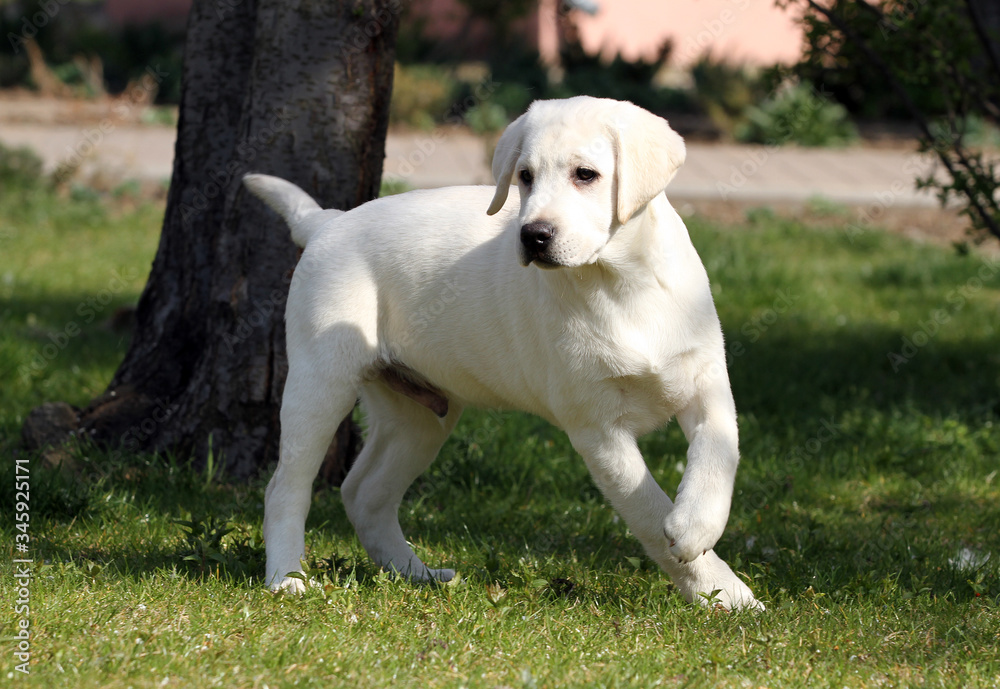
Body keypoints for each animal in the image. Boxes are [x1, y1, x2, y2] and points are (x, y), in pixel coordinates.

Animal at [246, 94, 760, 612]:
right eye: (525, 176)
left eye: (586, 174)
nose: (533, 235)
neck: (619, 281)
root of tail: (328, 221)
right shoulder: (597, 429)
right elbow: (647, 508)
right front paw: (718, 587)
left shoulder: (707, 380)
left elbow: (720, 452)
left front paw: (700, 536)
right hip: (320, 382)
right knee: (285, 488)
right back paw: (287, 578)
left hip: (418, 415)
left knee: (364, 492)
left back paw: (417, 574)